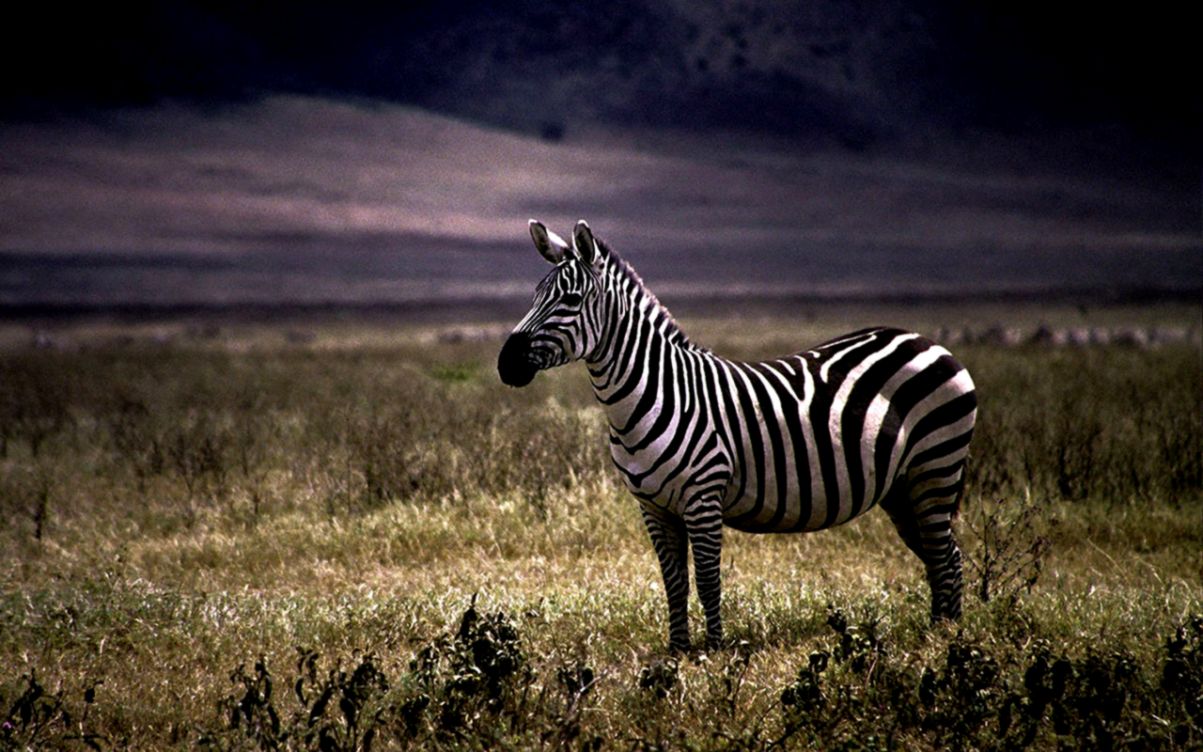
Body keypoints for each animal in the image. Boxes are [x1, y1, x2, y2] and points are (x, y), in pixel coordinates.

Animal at [498, 219, 978, 651]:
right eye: (535, 295)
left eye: (571, 299)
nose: (506, 363)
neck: (653, 392)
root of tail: (926, 340)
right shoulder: (653, 507)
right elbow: (674, 581)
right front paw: (677, 651)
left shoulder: (703, 495)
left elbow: (708, 580)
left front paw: (715, 652)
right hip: (902, 487)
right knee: (940, 557)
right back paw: (937, 633)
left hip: (935, 467)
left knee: (946, 557)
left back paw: (945, 642)